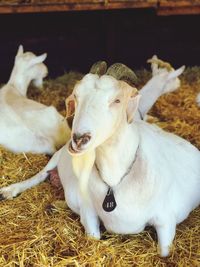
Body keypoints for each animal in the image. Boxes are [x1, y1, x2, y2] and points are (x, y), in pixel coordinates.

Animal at [0, 60, 189, 258]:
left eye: (117, 100)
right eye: (76, 96)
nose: (79, 138)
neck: (114, 177)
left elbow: (165, 251)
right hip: (57, 156)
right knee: (39, 175)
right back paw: (10, 190)